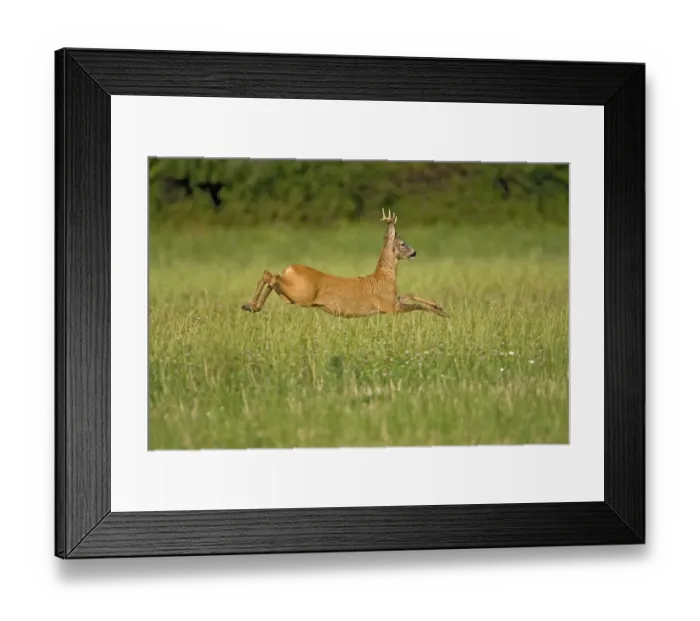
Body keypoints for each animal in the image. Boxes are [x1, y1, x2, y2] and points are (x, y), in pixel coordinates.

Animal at [241, 209, 448, 319]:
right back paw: (251, 305)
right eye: (403, 243)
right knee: (270, 275)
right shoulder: (388, 306)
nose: (414, 252)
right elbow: (416, 305)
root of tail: (289, 269)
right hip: (302, 294)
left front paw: (439, 306)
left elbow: (410, 294)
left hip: (290, 296)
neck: (384, 277)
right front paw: (442, 314)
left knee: (270, 275)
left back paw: (251, 306)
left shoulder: (392, 299)